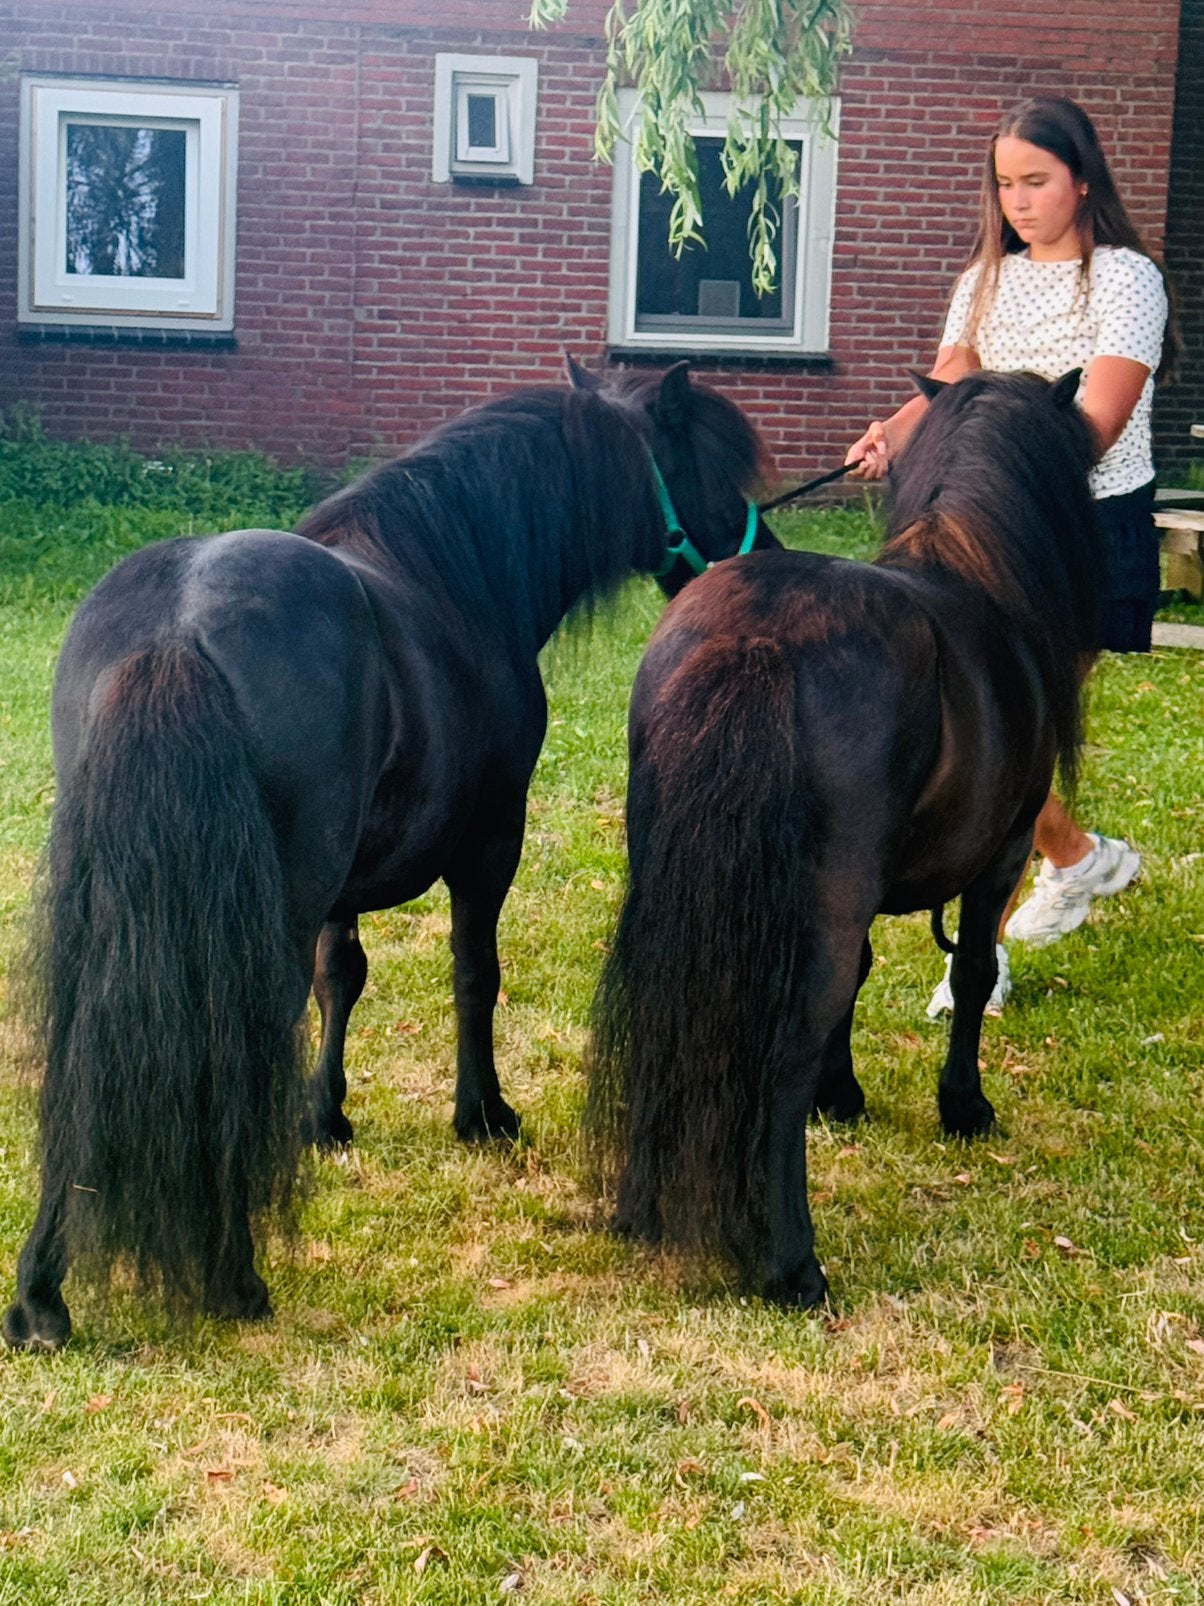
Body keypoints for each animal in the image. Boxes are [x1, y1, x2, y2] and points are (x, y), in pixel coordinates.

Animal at [3, 359, 778, 1350]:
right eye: (712, 475)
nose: (763, 557)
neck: (452, 573)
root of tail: (175, 632)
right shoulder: (490, 844)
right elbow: (474, 973)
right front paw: (482, 1112)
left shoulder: (342, 884)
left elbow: (343, 977)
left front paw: (324, 1115)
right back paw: (232, 1274)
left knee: (81, 1049)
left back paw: (41, 1293)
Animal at [585, 367, 1100, 1308]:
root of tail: (758, 636)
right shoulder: (1002, 856)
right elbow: (971, 974)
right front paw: (963, 1107)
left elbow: (861, 974)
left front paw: (845, 1093)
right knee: (784, 1050)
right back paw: (794, 1263)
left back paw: (642, 1209)